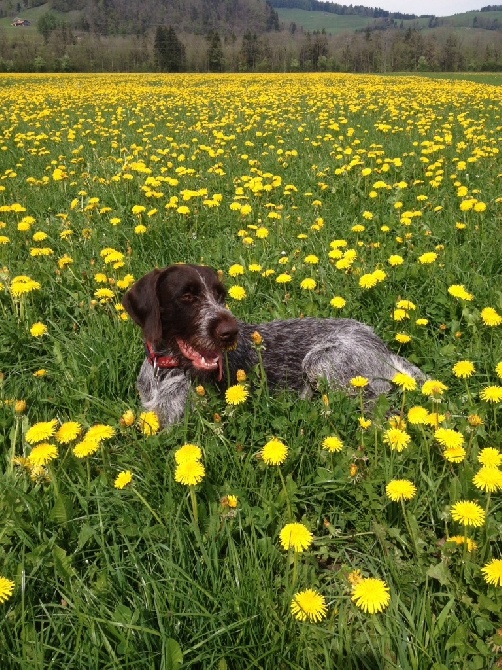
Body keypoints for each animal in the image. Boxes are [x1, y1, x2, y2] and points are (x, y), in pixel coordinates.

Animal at [121, 262, 424, 426]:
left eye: (220, 296)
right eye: (187, 297)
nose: (230, 331)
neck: (165, 367)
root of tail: (382, 345)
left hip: (320, 362)